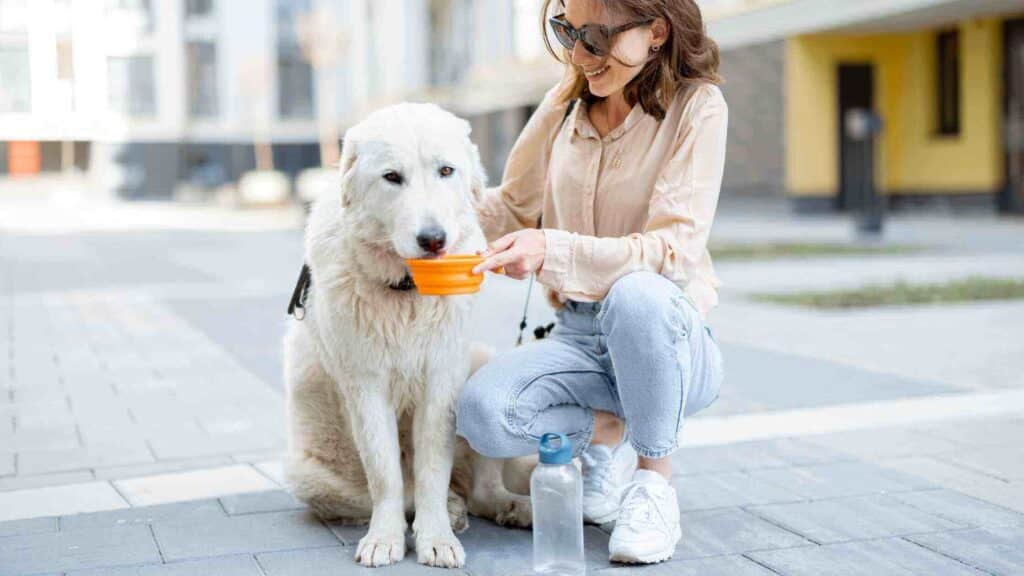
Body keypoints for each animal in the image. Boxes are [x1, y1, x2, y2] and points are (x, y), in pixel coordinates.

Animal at [284, 101, 532, 565]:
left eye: (446, 171)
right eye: (392, 177)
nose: (433, 239)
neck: (408, 291)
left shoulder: (442, 380)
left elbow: (433, 466)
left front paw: (437, 538)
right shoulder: (366, 386)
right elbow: (386, 475)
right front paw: (385, 539)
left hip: (479, 363)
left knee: (481, 490)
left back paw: (510, 507)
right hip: (306, 473)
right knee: (404, 492)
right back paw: (450, 509)